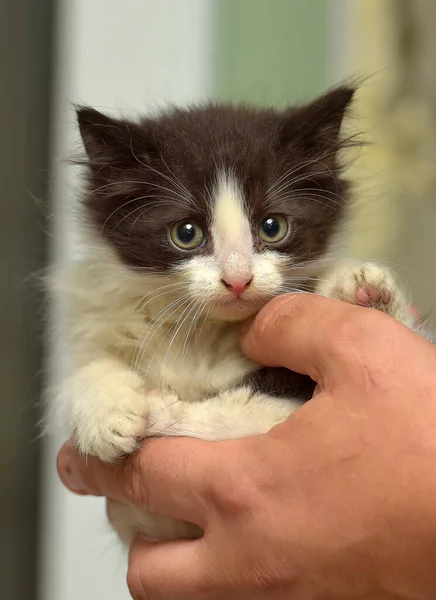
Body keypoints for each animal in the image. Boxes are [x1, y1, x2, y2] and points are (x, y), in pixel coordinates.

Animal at [49, 83, 424, 544]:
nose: (238, 279)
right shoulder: (144, 519)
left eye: (272, 227)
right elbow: (89, 368)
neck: (203, 334)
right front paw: (107, 414)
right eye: (186, 233)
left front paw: (354, 285)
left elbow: (247, 410)